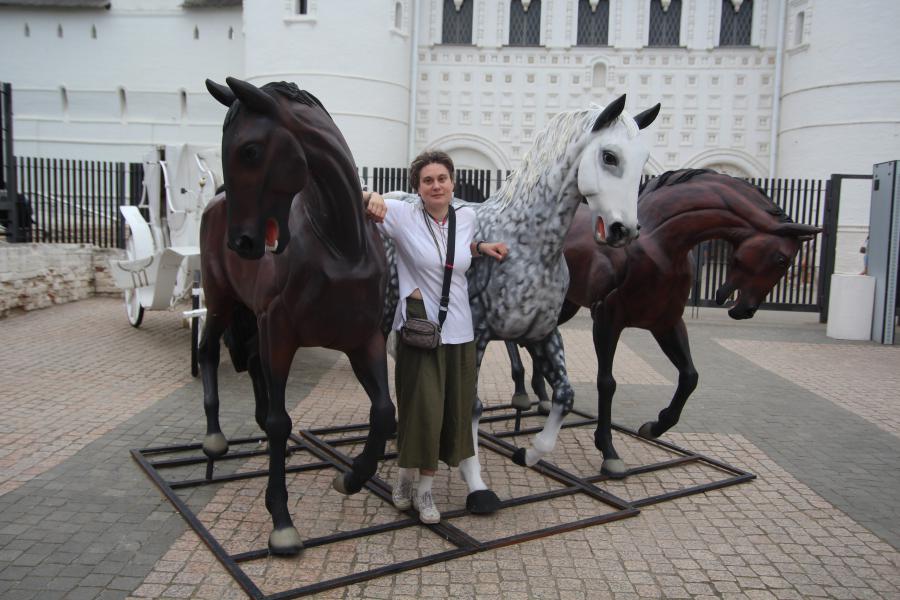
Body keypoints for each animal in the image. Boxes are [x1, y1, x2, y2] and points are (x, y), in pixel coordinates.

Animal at [200, 77, 394, 556]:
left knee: (250, 362)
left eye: (250, 150)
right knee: (209, 350)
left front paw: (351, 478)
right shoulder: (280, 334)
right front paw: (281, 521)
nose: (242, 243)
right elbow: (279, 420)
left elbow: (383, 410)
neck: (341, 244)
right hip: (220, 301)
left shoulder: (364, 340)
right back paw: (213, 439)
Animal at [383, 96, 661, 512]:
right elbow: (472, 406)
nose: (623, 230)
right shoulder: (478, 337)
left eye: (644, 160)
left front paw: (527, 454)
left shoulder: (542, 334)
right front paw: (477, 486)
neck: (528, 246)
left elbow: (564, 394)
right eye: (609, 156)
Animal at [506, 169, 821, 476]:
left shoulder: (666, 322)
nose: (746, 310)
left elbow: (690, 376)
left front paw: (655, 426)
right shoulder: (607, 319)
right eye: (781, 259)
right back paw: (521, 394)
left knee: (533, 340)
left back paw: (542, 397)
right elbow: (607, 383)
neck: (659, 244)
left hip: (565, 304)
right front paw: (608, 451)